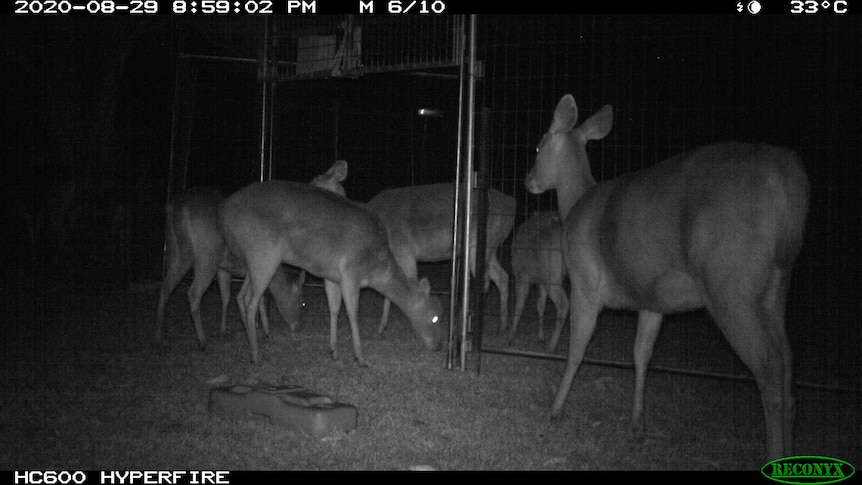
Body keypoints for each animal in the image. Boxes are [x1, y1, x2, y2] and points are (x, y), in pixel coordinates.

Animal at [218, 163, 446, 364]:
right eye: (435, 317)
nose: (437, 346)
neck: (376, 269)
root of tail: (225, 214)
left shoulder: (332, 276)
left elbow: (334, 308)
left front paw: (334, 352)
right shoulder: (351, 273)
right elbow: (353, 313)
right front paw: (361, 358)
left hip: (252, 260)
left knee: (241, 296)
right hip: (264, 254)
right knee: (250, 302)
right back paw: (256, 355)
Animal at [366, 183, 516, 334]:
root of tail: (512, 205)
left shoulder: (405, 251)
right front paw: (382, 326)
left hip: (479, 246)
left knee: (485, 280)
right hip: (492, 247)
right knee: (502, 277)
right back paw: (503, 326)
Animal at [510, 210, 572, 350]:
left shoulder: (522, 274)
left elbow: (519, 304)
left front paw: (512, 335)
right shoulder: (541, 279)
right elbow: (540, 304)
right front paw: (540, 336)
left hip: (552, 275)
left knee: (564, 304)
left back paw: (551, 345)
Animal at [524, 93, 812, 458]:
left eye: (538, 146)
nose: (528, 179)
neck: (574, 203)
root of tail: (786, 180)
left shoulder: (585, 281)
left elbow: (577, 349)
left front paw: (555, 410)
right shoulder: (652, 298)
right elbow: (641, 355)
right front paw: (637, 426)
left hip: (731, 283)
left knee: (770, 367)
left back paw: (776, 455)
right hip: (776, 285)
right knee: (788, 361)